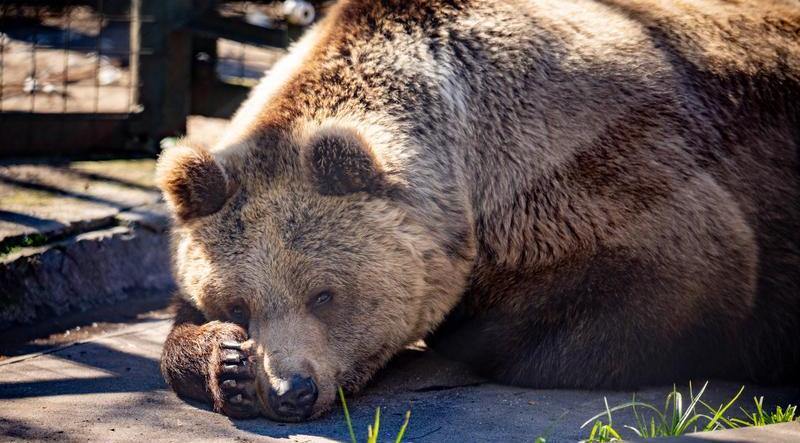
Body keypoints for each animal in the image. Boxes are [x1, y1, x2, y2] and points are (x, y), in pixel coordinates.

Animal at [156, 0, 800, 422]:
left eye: (324, 294)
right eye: (237, 304)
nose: (291, 390)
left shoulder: (582, 159)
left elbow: (682, 278)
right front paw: (229, 364)